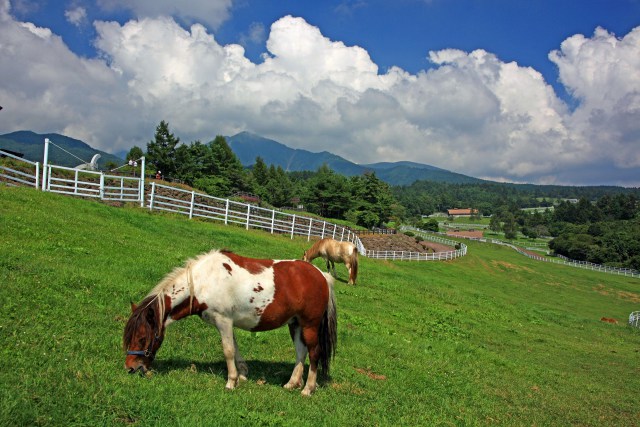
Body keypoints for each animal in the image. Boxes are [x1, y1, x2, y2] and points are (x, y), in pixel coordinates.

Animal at [122, 249, 338, 396]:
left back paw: (307, 389)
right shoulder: (228, 323)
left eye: (142, 338)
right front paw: (242, 374)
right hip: (295, 324)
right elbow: (235, 348)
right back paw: (292, 383)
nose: (130, 368)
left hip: (309, 325)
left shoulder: (223, 321)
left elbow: (227, 350)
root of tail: (322, 275)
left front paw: (230, 381)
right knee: (301, 352)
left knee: (314, 353)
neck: (204, 281)